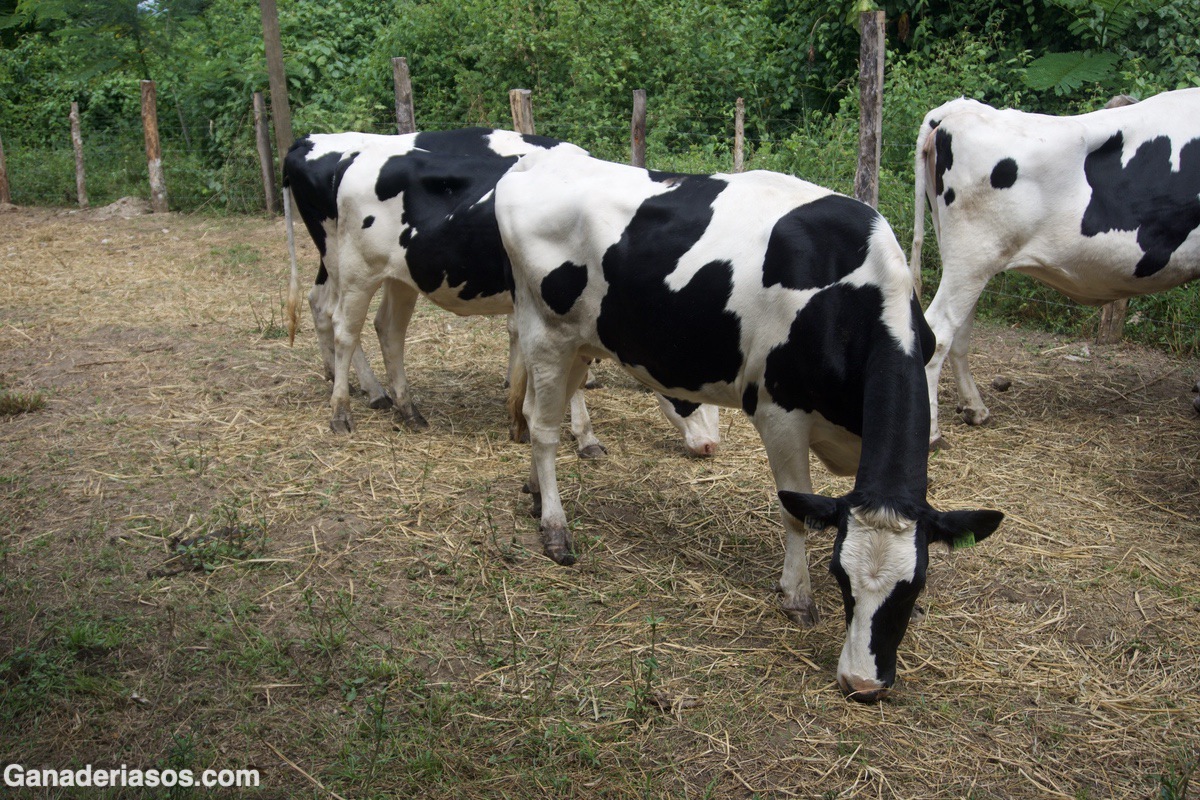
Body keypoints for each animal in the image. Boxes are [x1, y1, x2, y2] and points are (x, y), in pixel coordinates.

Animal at [278, 131, 720, 455]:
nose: (710, 446)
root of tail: (350, 154)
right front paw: (583, 436)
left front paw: (520, 413)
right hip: (354, 267)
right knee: (342, 326)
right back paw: (346, 408)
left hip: (400, 275)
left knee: (387, 329)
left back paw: (406, 408)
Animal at [494, 148, 1003, 700]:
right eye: (840, 577)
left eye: (914, 586)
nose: (862, 683)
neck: (852, 293)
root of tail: (540, 157)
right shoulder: (779, 415)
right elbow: (795, 512)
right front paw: (797, 596)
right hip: (546, 332)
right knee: (543, 429)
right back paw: (555, 528)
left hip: (581, 342)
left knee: (537, 414)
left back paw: (533, 493)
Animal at [907, 92, 1200, 450]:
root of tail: (959, 109)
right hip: (973, 256)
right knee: (940, 330)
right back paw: (932, 433)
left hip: (967, 260)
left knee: (958, 333)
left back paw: (975, 409)